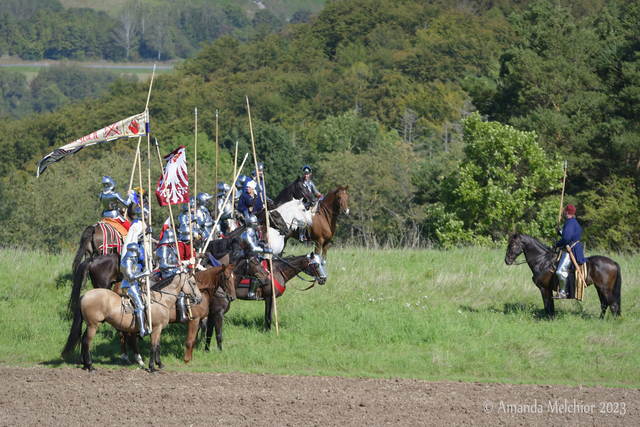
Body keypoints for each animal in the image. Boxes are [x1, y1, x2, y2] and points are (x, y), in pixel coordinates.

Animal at [61, 272, 202, 372]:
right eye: (193, 283)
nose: (199, 298)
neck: (160, 300)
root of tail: (85, 295)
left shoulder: (159, 329)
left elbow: (158, 346)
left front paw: (160, 364)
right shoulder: (156, 329)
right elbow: (153, 347)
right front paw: (152, 367)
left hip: (90, 325)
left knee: (83, 340)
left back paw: (85, 365)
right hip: (93, 325)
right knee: (87, 341)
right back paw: (90, 366)